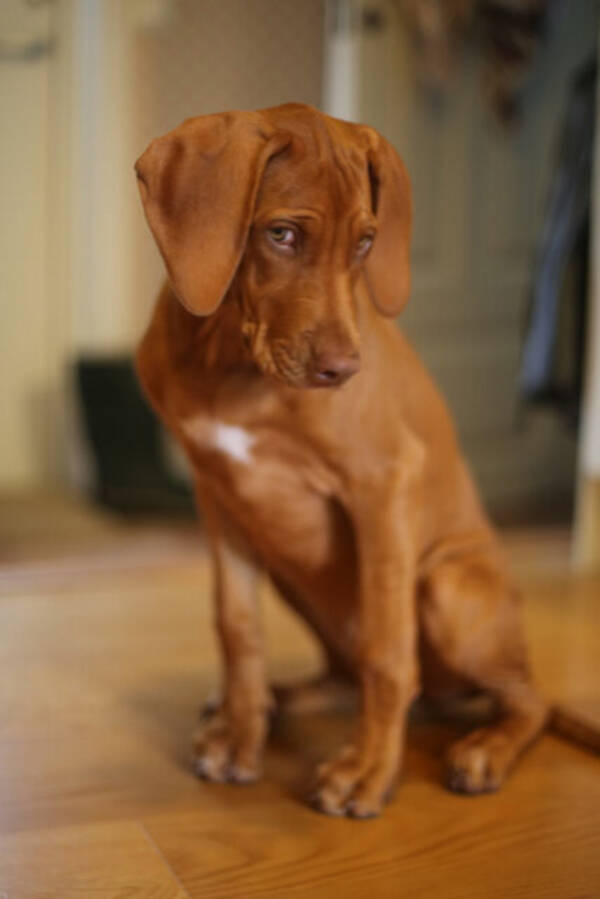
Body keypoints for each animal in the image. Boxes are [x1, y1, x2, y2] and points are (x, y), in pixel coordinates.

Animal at [135, 102, 584, 820]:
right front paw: (240, 733)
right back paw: (272, 701)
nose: (343, 371)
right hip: (291, 568)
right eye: (282, 234)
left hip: (445, 584)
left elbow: (386, 650)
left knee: (524, 696)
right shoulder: (219, 493)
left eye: (367, 244)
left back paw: (486, 746)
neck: (231, 361)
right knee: (346, 674)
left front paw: (368, 768)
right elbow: (237, 626)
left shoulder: (382, 484)